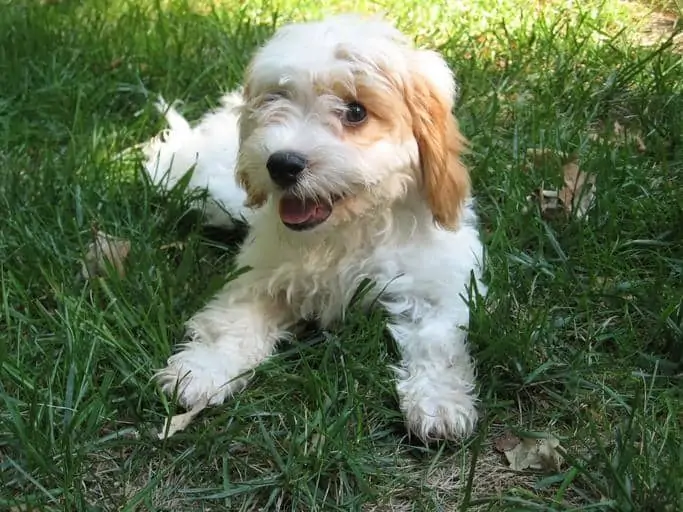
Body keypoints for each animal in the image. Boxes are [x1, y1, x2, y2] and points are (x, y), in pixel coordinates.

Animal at [143, 14, 486, 442]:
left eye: (356, 111)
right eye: (276, 98)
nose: (281, 164)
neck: (347, 229)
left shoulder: (436, 285)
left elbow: (438, 342)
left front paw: (439, 402)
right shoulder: (260, 276)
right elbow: (233, 323)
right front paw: (203, 369)